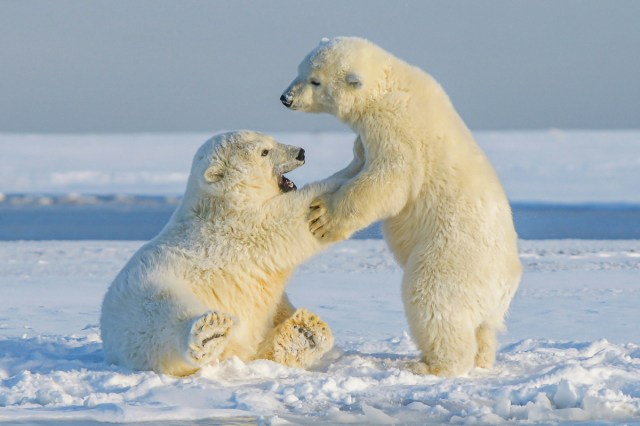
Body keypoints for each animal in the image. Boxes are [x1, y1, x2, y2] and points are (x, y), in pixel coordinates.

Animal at [100, 131, 338, 376]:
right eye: (264, 151)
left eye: (272, 140)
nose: (300, 152)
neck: (221, 202)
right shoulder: (239, 228)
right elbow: (286, 221)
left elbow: (275, 305)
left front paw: (303, 332)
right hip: (147, 294)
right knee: (164, 315)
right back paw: (209, 333)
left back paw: (305, 331)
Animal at [282, 36, 524, 376]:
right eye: (300, 70)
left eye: (315, 80)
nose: (286, 98)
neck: (391, 83)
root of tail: (505, 285)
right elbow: (360, 162)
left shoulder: (397, 126)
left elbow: (389, 179)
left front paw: (322, 218)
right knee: (484, 329)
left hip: (451, 256)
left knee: (432, 300)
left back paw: (430, 365)